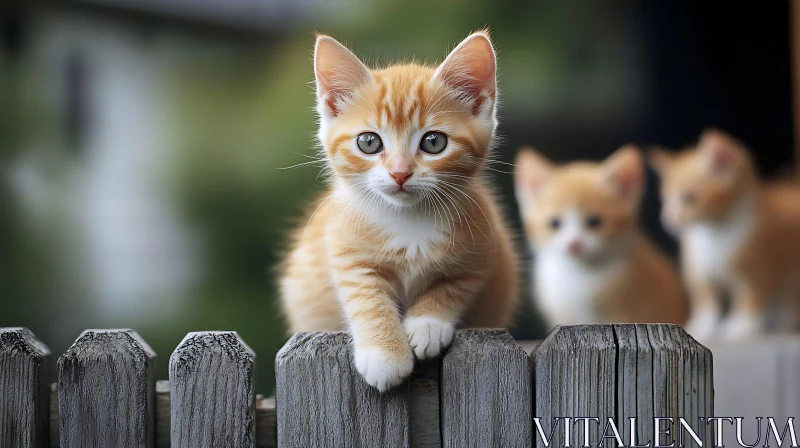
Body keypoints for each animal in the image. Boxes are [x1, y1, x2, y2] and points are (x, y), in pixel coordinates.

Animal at [280, 31, 520, 390]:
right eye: (368, 142)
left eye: (434, 142)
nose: (400, 173)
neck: (410, 220)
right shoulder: (348, 256)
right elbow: (368, 300)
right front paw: (385, 355)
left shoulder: (481, 254)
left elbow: (453, 287)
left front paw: (427, 324)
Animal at [520, 145, 688, 328]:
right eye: (554, 223)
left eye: (595, 222)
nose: (574, 243)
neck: (579, 273)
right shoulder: (562, 315)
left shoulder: (625, 312)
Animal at [648, 130, 800, 344]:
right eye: (666, 200)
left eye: (688, 198)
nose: (668, 219)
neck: (714, 233)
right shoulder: (698, 267)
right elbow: (706, 300)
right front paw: (703, 326)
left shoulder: (759, 265)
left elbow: (751, 296)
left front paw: (743, 327)